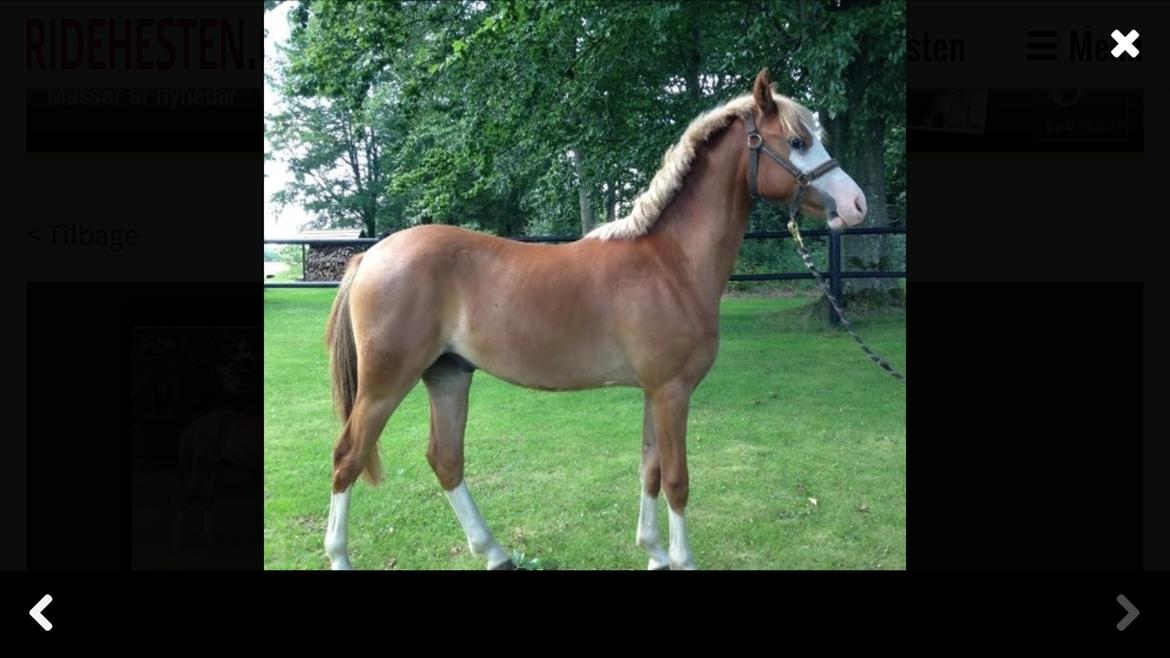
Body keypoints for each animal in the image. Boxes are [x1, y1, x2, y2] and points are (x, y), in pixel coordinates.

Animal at [173, 408, 262, 546]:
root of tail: (201, 421)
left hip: (211, 469)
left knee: (207, 499)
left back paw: (209, 536)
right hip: (199, 470)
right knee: (186, 498)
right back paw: (177, 538)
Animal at [322, 68, 867, 570]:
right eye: (797, 141)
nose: (857, 204)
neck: (670, 262)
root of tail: (369, 257)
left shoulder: (655, 392)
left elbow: (650, 470)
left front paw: (654, 553)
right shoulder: (672, 392)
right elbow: (677, 480)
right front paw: (680, 559)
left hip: (448, 374)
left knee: (445, 459)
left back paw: (494, 552)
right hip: (387, 381)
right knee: (348, 456)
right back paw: (342, 555)